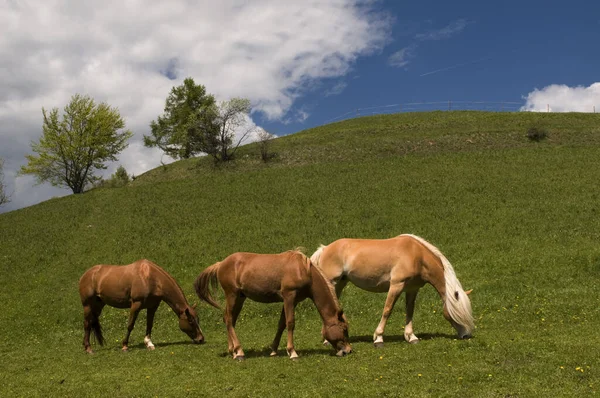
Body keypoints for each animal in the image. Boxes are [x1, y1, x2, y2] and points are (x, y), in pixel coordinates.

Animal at [192, 252, 352, 360]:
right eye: (343, 329)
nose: (348, 350)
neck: (304, 270)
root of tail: (221, 264)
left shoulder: (291, 301)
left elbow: (281, 324)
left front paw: (274, 349)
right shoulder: (289, 297)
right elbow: (290, 323)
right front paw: (292, 352)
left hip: (239, 298)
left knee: (229, 320)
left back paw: (233, 351)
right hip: (232, 295)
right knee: (229, 320)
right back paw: (239, 352)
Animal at [310, 235, 474, 346]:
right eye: (460, 312)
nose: (466, 335)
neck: (416, 255)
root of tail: (325, 248)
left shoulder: (412, 289)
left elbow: (410, 311)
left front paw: (411, 337)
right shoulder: (396, 285)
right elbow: (387, 310)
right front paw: (378, 338)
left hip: (340, 284)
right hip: (332, 283)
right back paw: (327, 340)